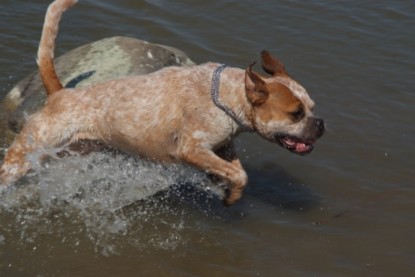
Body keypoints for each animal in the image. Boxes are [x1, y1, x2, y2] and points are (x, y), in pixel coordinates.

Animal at [0, 0, 324, 205]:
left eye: (312, 107)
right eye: (296, 114)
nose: (320, 125)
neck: (225, 97)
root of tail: (60, 93)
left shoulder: (223, 147)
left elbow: (235, 171)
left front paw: (229, 194)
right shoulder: (191, 149)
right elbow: (239, 174)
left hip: (73, 150)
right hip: (26, 153)